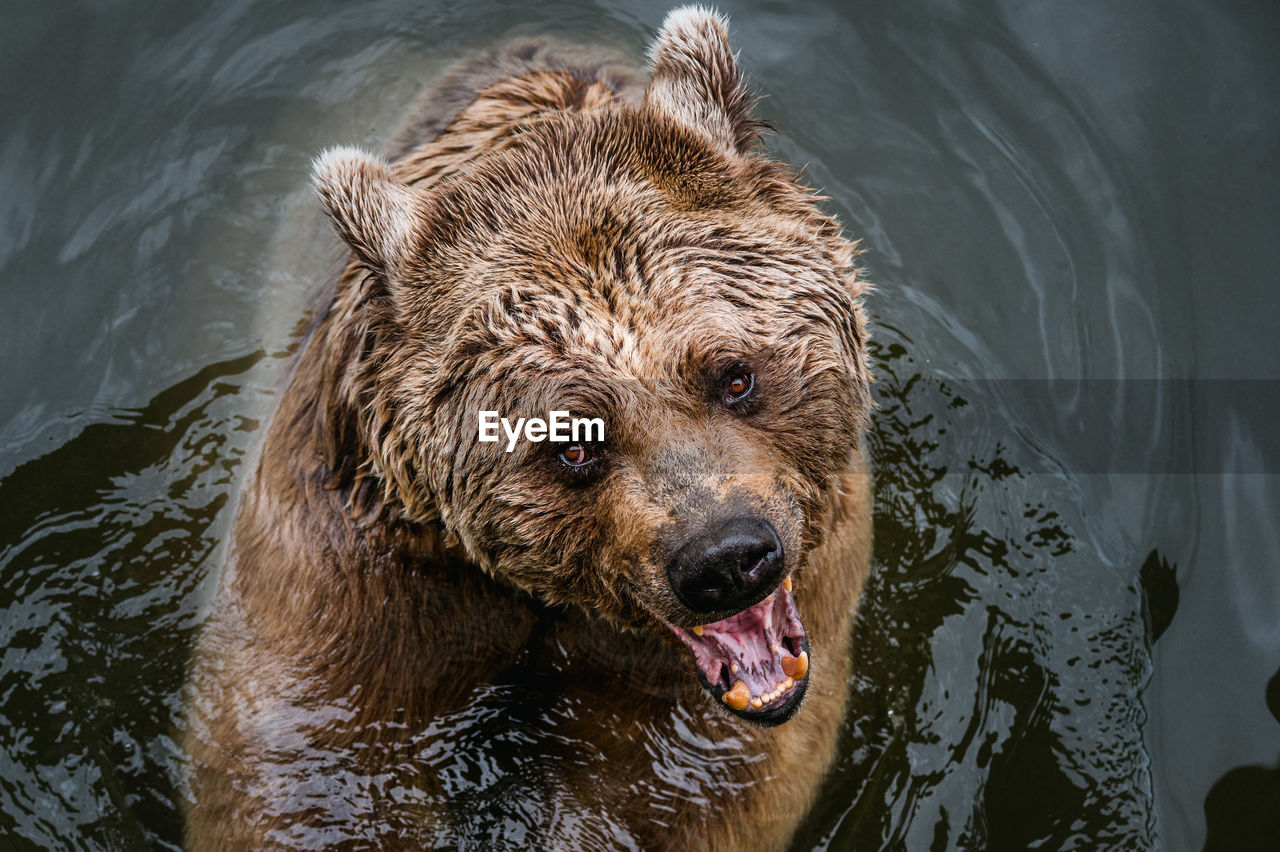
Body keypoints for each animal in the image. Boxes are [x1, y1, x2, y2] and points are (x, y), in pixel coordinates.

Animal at [185, 8, 875, 849]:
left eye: (734, 376)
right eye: (572, 442)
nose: (726, 558)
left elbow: (691, 777)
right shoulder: (356, 553)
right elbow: (308, 751)